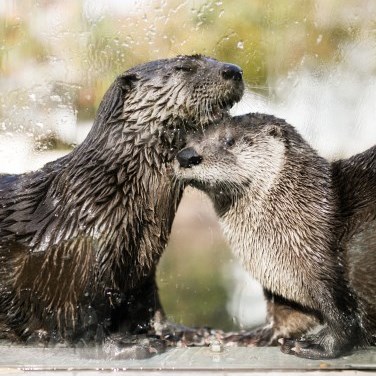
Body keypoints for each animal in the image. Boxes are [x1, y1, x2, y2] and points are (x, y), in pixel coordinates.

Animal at [0, 54, 244, 354]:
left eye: (213, 58)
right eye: (185, 67)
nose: (234, 71)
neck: (102, 193)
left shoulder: (143, 265)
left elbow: (148, 306)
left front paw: (190, 332)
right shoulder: (73, 262)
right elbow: (77, 323)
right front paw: (125, 344)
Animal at [176, 113, 376, 360]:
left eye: (229, 141)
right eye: (185, 141)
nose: (186, 156)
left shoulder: (324, 266)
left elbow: (342, 315)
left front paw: (316, 345)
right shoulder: (280, 287)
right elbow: (285, 317)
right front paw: (249, 336)